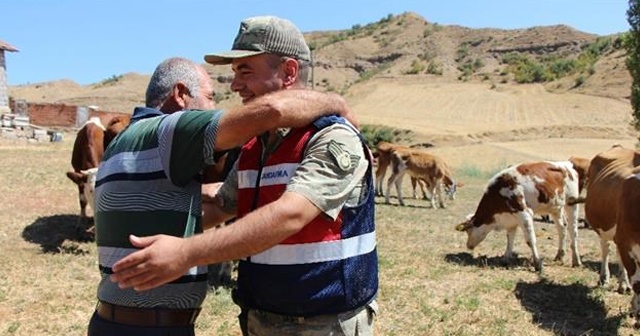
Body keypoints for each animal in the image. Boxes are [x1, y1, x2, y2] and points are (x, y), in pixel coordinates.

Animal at [452, 161, 584, 272]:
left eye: (468, 231)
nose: (468, 246)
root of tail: (566, 164)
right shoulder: (512, 219)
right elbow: (509, 239)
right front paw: (505, 258)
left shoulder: (525, 214)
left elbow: (530, 240)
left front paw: (538, 264)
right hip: (555, 207)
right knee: (562, 228)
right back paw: (559, 255)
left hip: (571, 204)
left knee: (573, 231)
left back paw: (576, 260)